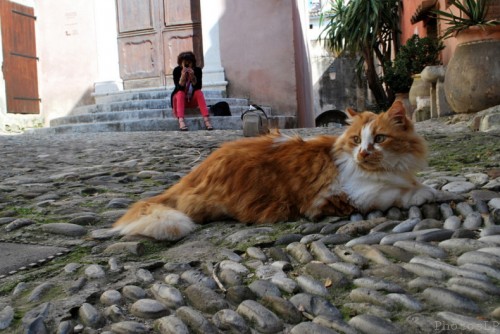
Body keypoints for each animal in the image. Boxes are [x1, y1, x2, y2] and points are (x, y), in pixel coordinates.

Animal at [112, 102, 434, 240]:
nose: (363, 152)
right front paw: (423, 193)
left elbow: (410, 183)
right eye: (356, 139)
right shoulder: (345, 196)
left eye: (379, 139)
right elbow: (396, 192)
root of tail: (196, 170)